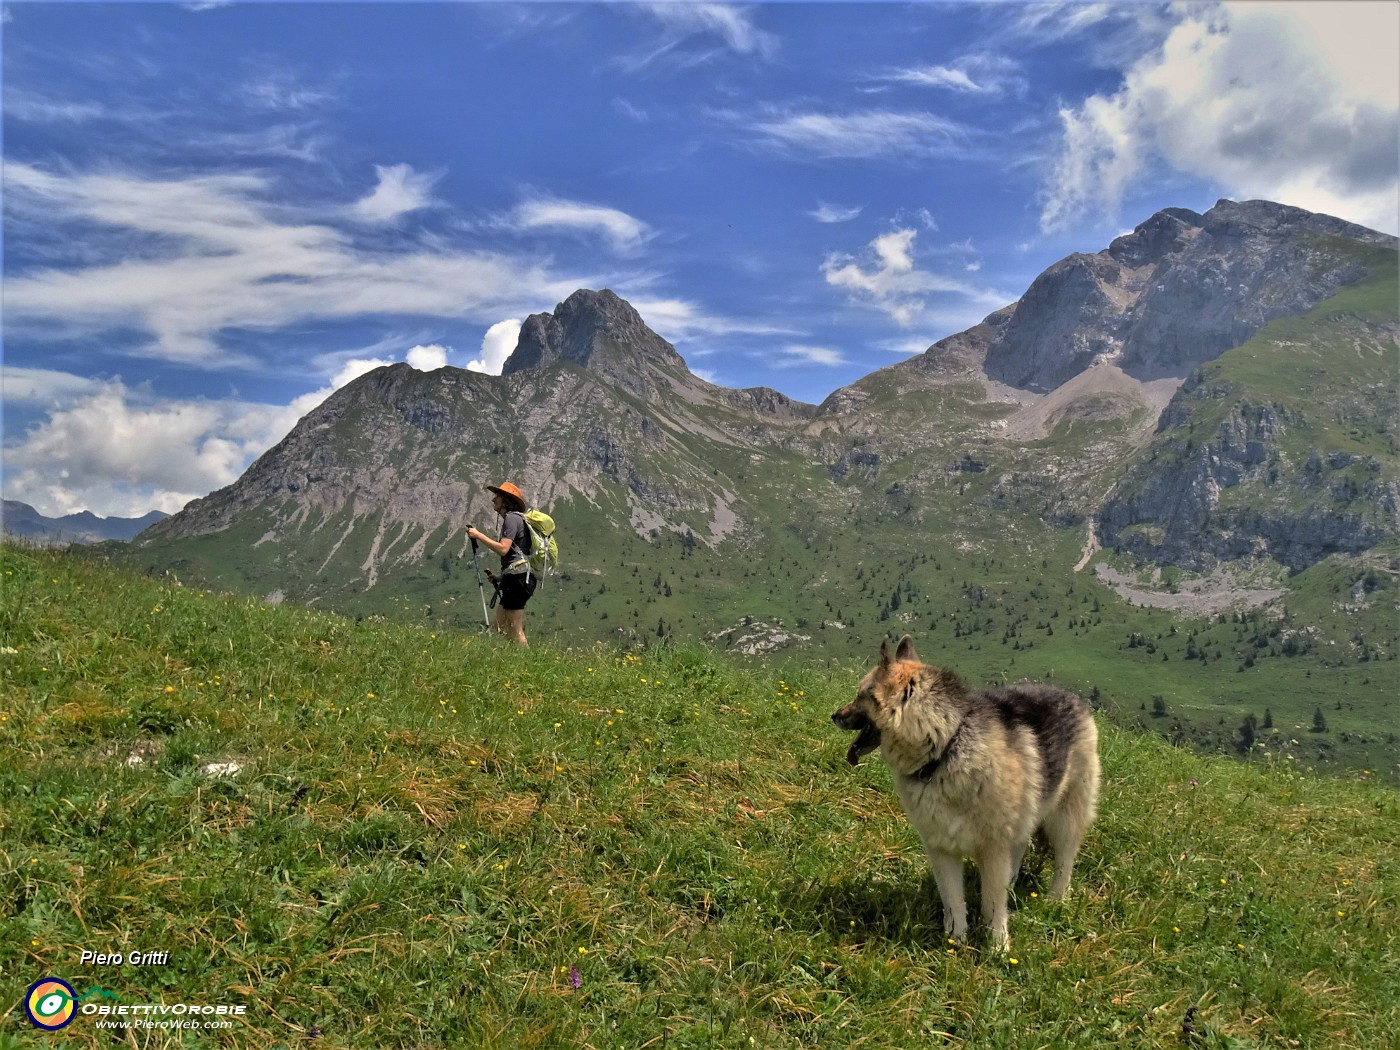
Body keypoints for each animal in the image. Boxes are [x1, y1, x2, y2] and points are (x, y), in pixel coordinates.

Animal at [823, 632, 1097, 952]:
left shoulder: (992, 849)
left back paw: (1055, 901)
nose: (834, 715)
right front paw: (955, 940)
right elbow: (953, 900)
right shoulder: (941, 849)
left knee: (1064, 863)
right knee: (1019, 850)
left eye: (860, 695)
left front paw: (997, 948)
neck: (944, 747)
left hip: (1065, 818)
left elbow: (993, 903)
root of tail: (1073, 698)